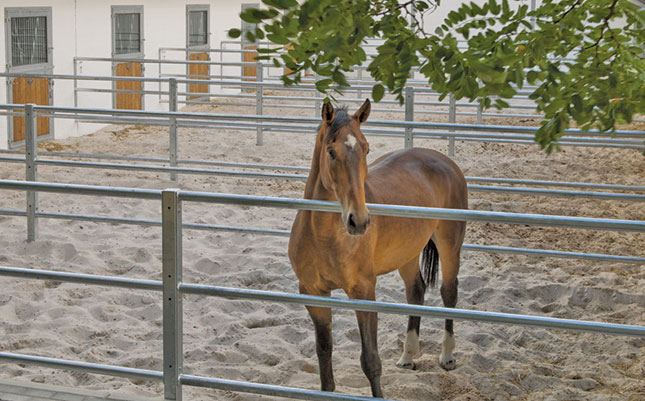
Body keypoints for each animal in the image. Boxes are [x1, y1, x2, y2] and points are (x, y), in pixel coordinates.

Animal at [290, 98, 466, 396]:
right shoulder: (314, 294)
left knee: (448, 293)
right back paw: (407, 356)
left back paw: (448, 356)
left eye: (366, 148)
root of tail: (445, 161)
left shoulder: (363, 292)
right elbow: (324, 352)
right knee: (415, 291)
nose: (359, 221)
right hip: (408, 254)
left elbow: (370, 360)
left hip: (450, 244)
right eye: (331, 151)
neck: (325, 236)